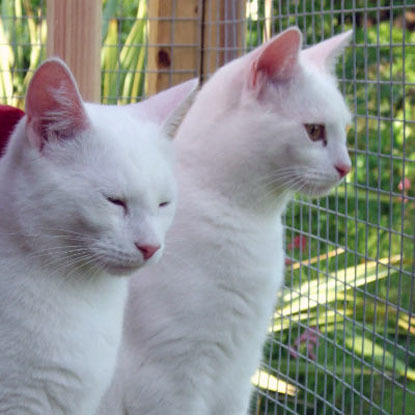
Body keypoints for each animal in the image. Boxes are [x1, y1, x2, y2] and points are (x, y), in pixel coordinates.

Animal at [98, 27, 354, 414]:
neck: (250, 221)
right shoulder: (170, 379)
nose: (346, 167)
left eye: (344, 132)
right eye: (314, 131)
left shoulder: (237, 374)